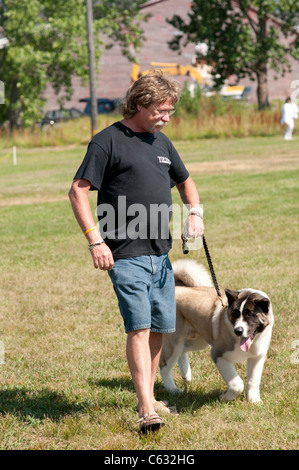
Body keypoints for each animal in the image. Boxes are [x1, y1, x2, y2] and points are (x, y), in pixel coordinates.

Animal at [161, 258, 276, 402]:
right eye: (235, 314)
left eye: (250, 314)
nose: (238, 331)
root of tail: (176, 287)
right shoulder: (218, 354)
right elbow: (237, 384)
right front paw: (225, 397)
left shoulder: (257, 358)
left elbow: (253, 381)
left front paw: (254, 401)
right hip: (174, 341)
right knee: (164, 365)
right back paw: (173, 390)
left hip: (198, 340)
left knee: (183, 351)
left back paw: (186, 375)